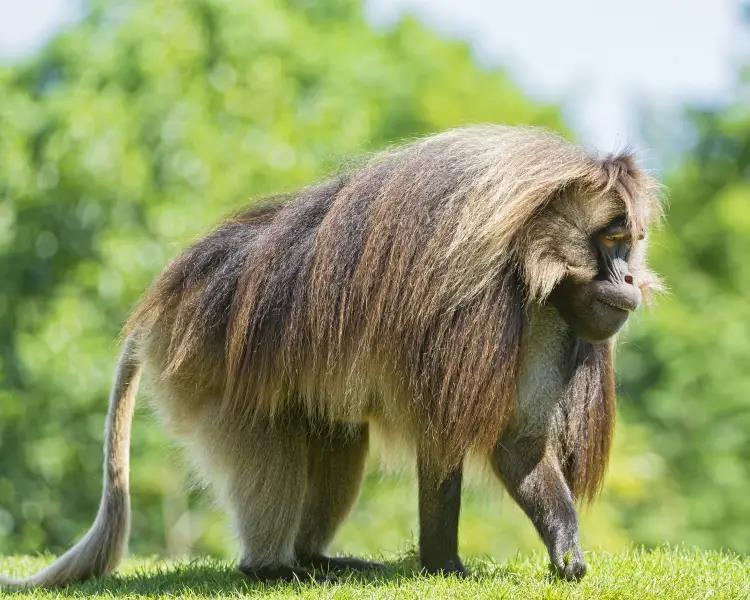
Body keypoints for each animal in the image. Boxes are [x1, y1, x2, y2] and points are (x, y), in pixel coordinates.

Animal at [0, 126, 662, 588]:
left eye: (630, 243)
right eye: (611, 241)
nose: (630, 279)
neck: (529, 253)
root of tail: (163, 302)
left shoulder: (552, 316)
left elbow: (519, 443)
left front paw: (564, 549)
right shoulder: (472, 301)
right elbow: (444, 433)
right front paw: (443, 566)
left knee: (339, 438)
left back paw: (316, 558)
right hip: (206, 367)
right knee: (269, 448)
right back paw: (272, 568)